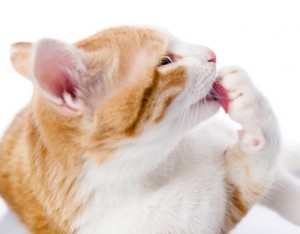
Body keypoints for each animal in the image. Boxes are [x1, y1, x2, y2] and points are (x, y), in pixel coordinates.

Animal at [0, 25, 300, 232]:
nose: (212, 54)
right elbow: (256, 164)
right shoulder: (216, 213)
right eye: (165, 61)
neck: (161, 163)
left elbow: (282, 182)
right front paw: (245, 98)